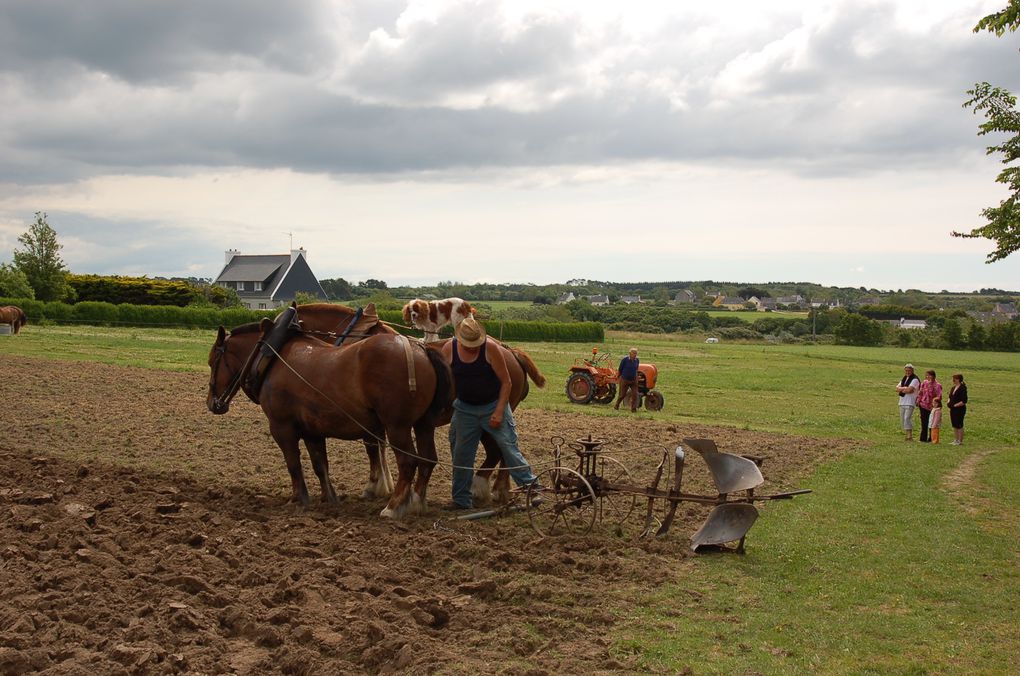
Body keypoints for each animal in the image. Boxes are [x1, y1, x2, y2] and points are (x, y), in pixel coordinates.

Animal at [207, 322, 450, 517]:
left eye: (212, 361)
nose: (211, 403)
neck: (273, 358)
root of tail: (420, 349)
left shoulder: (282, 428)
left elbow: (293, 464)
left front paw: (298, 499)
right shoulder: (313, 431)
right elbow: (319, 464)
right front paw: (328, 498)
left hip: (397, 427)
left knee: (408, 462)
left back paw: (393, 507)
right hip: (423, 424)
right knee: (428, 460)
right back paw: (417, 503)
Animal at [291, 303, 546, 505]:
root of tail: (509, 352)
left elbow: (373, 448)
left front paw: (375, 486)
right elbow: (378, 448)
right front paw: (384, 485)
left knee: (501, 450)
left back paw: (489, 489)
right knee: (504, 451)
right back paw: (499, 489)